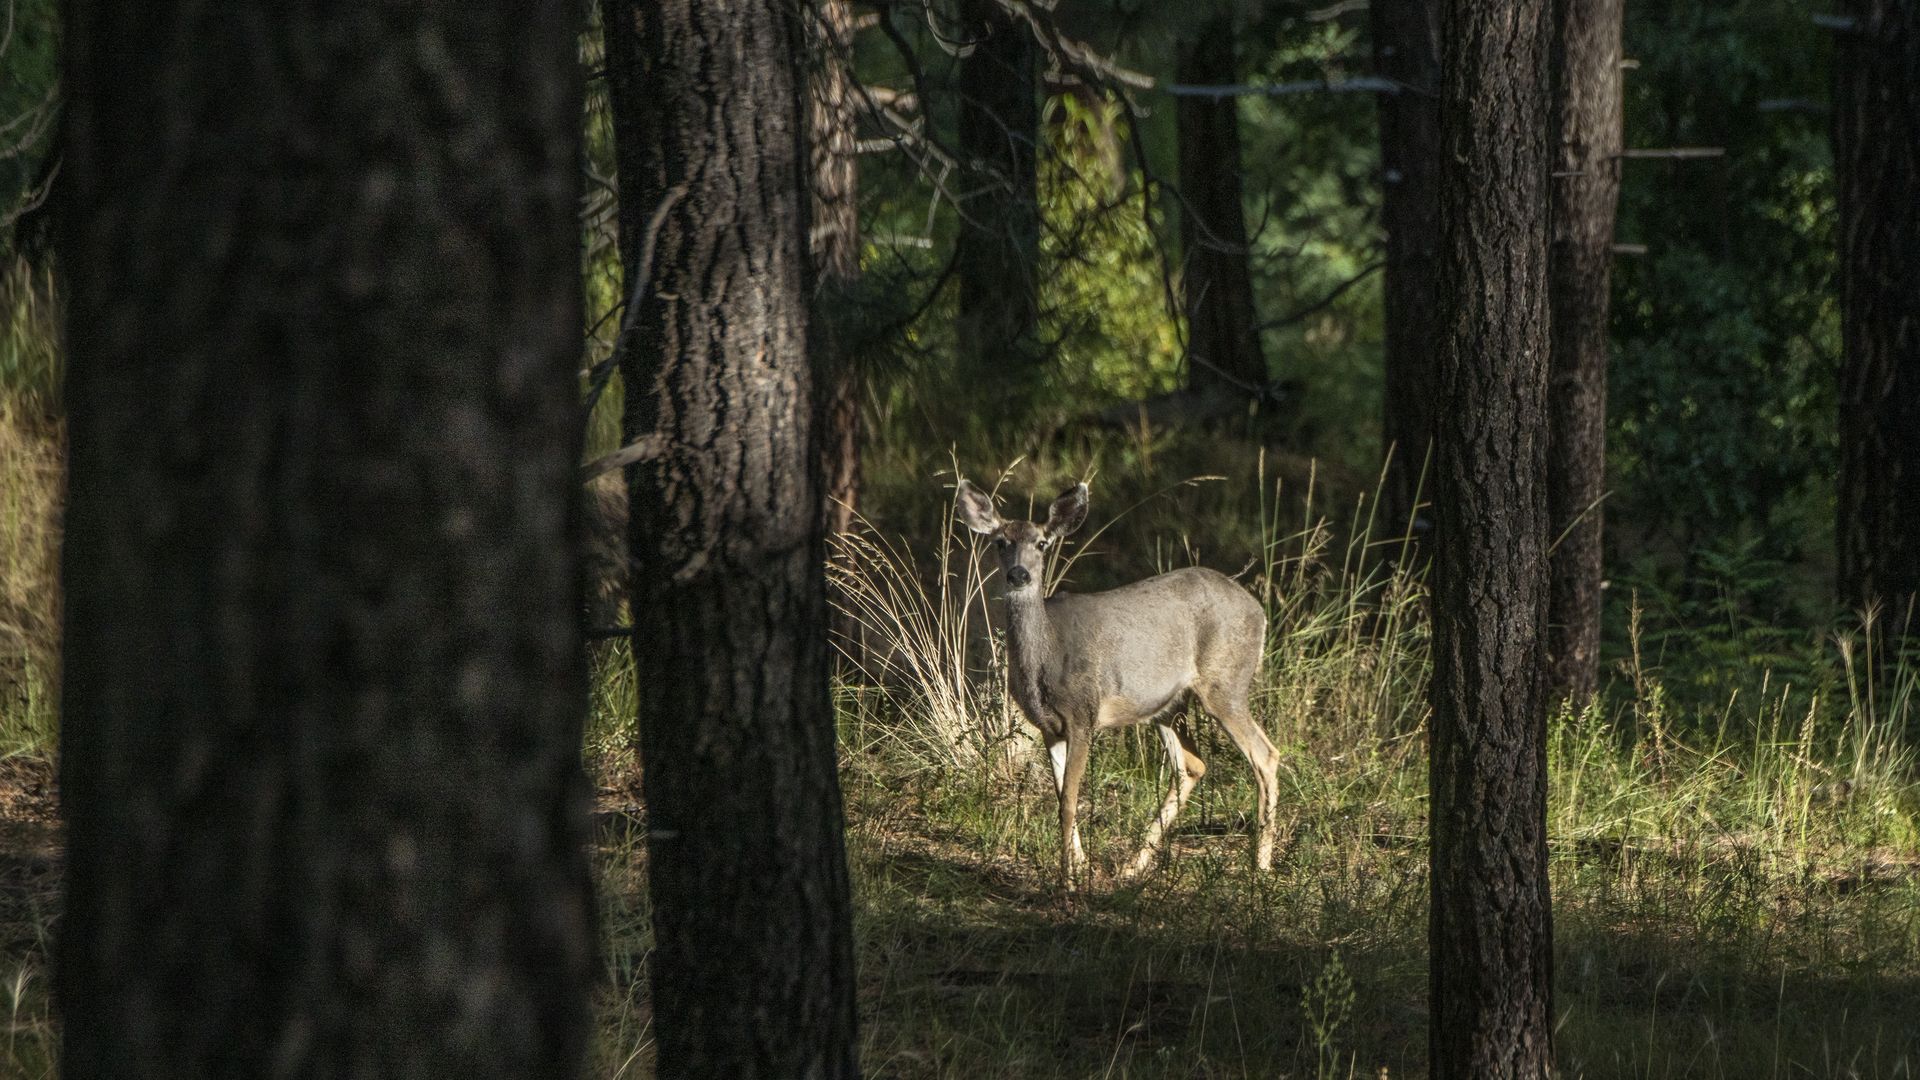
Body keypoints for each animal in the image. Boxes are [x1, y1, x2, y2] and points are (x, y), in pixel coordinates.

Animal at [955, 479, 1280, 889]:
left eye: (1041, 543)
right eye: (1000, 541)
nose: (1018, 575)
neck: (1046, 656)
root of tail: (1259, 611)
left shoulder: (1083, 713)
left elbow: (1069, 802)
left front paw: (1068, 879)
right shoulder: (1049, 726)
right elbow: (1062, 796)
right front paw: (1078, 866)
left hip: (1226, 682)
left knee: (1265, 755)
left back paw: (1261, 867)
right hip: (1168, 705)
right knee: (1192, 764)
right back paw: (1133, 865)